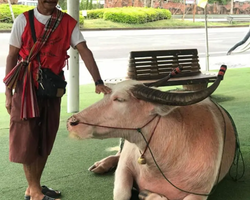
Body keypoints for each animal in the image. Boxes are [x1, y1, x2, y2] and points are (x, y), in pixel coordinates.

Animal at [67, 65, 236, 200]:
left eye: (120, 99)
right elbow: (122, 193)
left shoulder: (201, 192)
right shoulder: (123, 169)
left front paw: (147, 194)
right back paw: (102, 164)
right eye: (105, 95)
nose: (71, 122)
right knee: (118, 154)